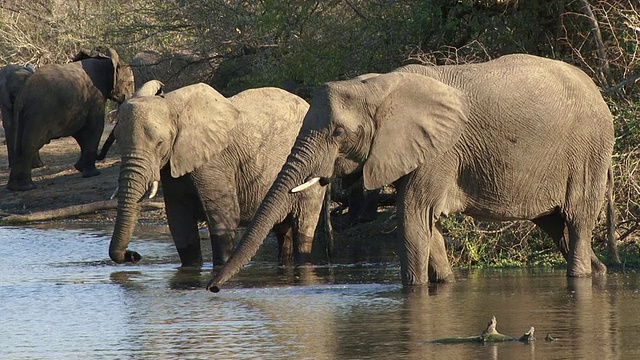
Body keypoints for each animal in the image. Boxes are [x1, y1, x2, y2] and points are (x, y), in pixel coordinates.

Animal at [7, 47, 135, 191]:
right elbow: (95, 128)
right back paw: (26, 187)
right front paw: (92, 174)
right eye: (130, 83)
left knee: (18, 145)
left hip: (23, 115)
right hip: (37, 115)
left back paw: (15, 187)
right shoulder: (95, 96)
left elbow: (80, 132)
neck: (106, 60)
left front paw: (79, 168)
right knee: (31, 144)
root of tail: (22, 98)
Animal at [108, 82, 328, 268]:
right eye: (117, 139)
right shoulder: (173, 166)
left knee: (303, 226)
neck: (172, 105)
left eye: (160, 143)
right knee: (284, 232)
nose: (133, 255)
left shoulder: (215, 162)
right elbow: (179, 222)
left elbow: (224, 217)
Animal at [208, 53, 616, 292]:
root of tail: (601, 94)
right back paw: (599, 273)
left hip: (588, 152)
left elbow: (412, 215)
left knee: (577, 220)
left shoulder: (439, 150)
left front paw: (414, 291)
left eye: (337, 133)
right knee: (555, 225)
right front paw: (445, 283)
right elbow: (426, 224)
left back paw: (581, 276)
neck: (378, 86)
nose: (212, 289)